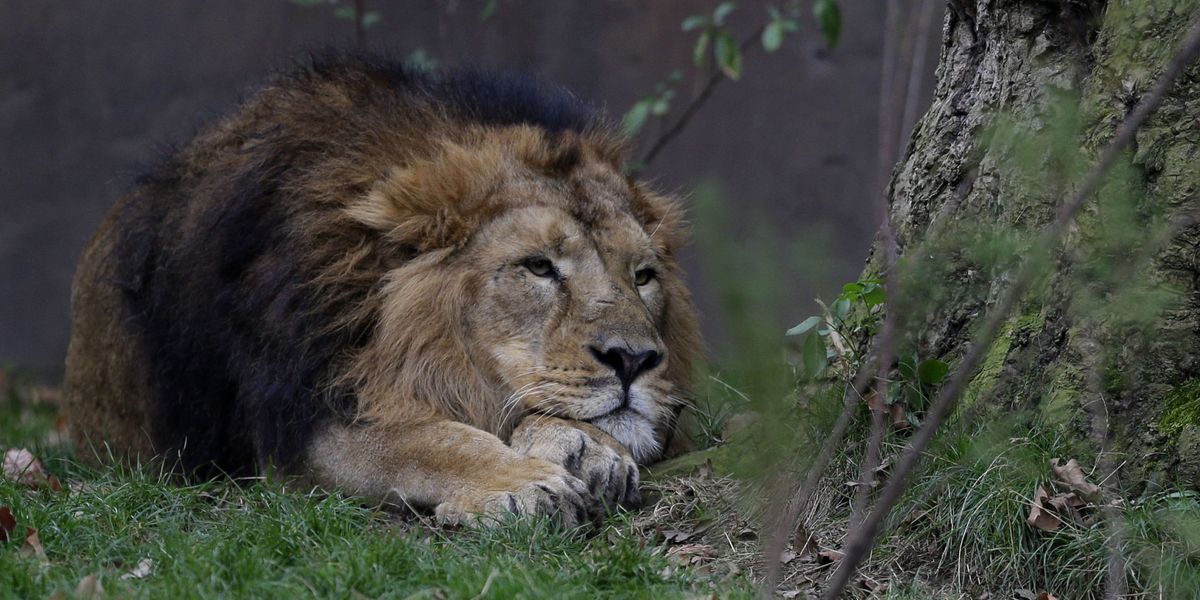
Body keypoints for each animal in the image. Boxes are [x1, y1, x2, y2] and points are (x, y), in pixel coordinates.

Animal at [63, 55, 700, 525]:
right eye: (539, 267)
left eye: (642, 276)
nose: (634, 359)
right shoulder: (295, 423)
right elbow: (426, 441)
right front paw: (523, 483)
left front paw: (587, 446)